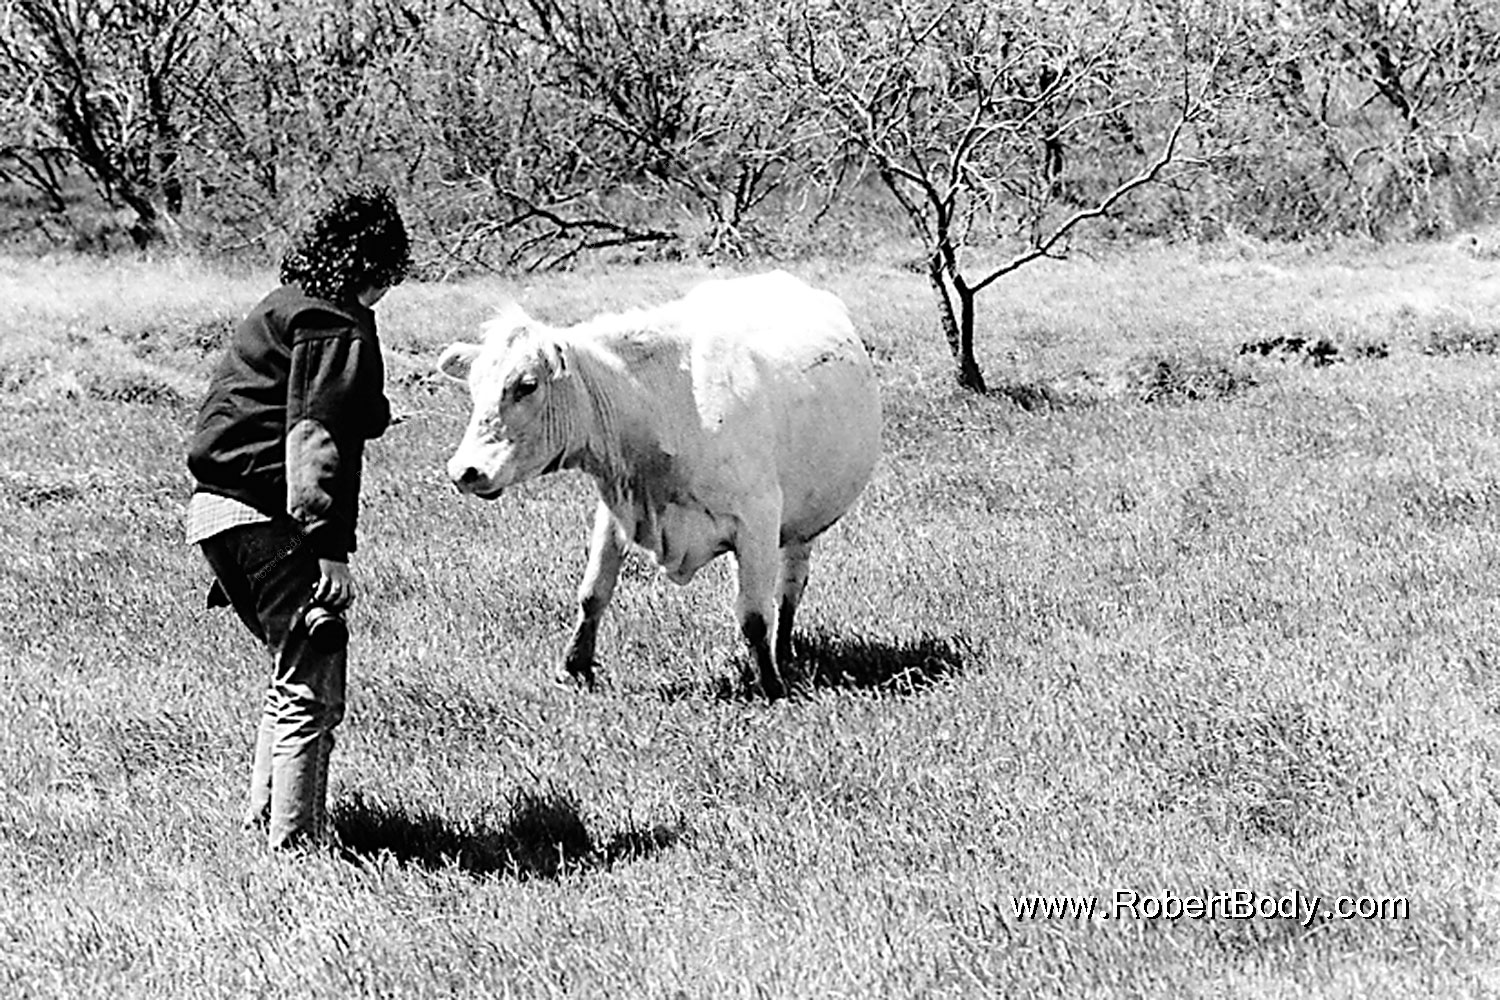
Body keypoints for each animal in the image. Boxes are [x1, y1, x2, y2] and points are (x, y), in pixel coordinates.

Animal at [437, 270, 882, 698]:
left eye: (526, 385)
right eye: (473, 386)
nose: (464, 471)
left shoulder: (757, 519)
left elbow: (755, 615)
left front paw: (771, 685)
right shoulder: (615, 511)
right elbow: (593, 593)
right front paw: (574, 666)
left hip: (803, 522)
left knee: (789, 585)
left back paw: (784, 649)